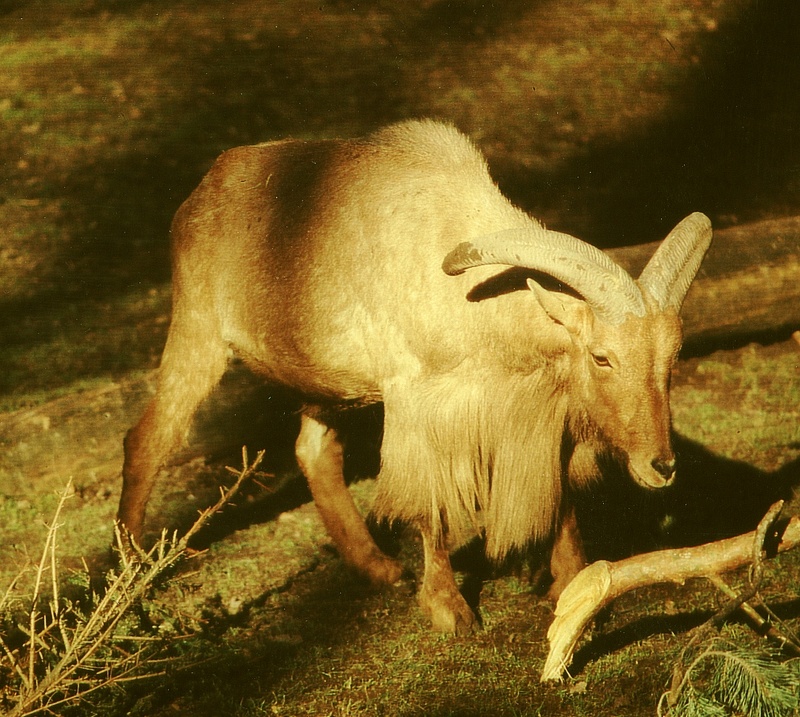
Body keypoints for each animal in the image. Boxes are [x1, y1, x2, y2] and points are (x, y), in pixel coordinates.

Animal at [117, 117, 712, 632]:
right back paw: (130, 581)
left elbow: (561, 497)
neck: (476, 303)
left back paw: (378, 568)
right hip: (198, 331)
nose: (661, 466)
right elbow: (430, 506)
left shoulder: (543, 419)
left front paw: (572, 588)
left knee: (314, 451)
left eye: (672, 356)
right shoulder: (418, 406)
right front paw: (450, 611)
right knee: (147, 439)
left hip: (329, 383)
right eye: (602, 357)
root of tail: (203, 191)